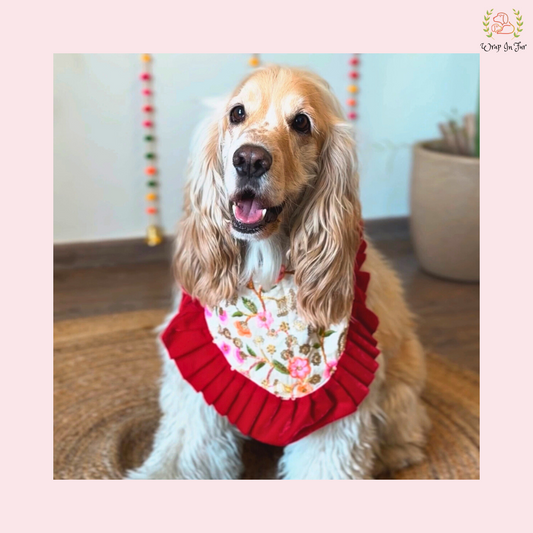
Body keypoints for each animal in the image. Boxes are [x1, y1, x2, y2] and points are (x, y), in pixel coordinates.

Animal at [127, 65, 430, 478]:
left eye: (301, 122)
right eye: (237, 113)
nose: (250, 160)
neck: (266, 271)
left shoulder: (337, 418)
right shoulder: (195, 383)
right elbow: (183, 454)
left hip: (403, 380)